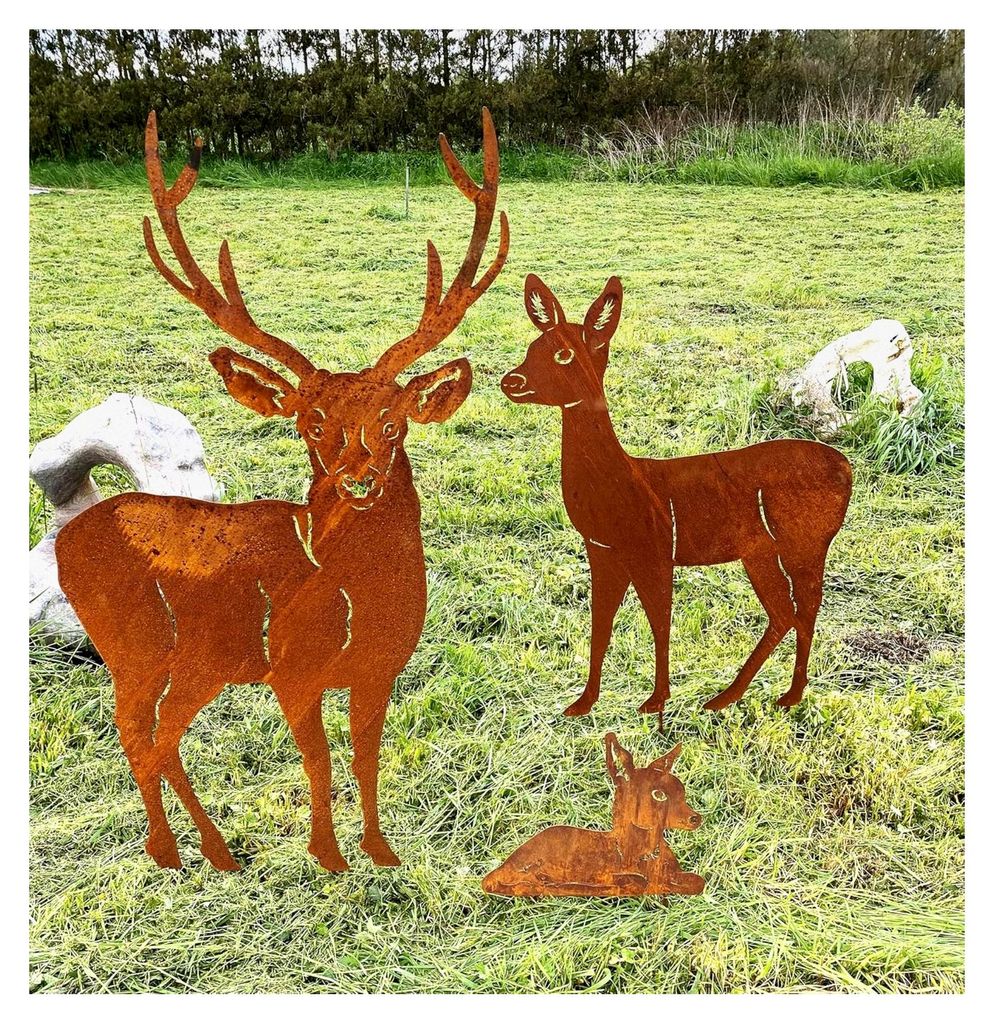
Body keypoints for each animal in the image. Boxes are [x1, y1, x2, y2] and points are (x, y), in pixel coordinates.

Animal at [55, 109, 508, 872]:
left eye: (392, 421)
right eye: (311, 420)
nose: (358, 479)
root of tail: (65, 537)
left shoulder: (379, 672)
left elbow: (365, 760)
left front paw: (380, 852)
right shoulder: (294, 673)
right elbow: (320, 763)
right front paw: (328, 856)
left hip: (196, 662)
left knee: (162, 735)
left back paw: (214, 850)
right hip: (134, 645)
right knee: (136, 733)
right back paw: (172, 851)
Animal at [501, 275, 852, 720]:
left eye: (564, 354)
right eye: (532, 347)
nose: (511, 381)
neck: (621, 480)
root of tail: (848, 469)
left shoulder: (653, 550)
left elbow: (659, 621)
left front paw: (655, 701)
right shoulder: (602, 550)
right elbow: (601, 623)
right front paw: (583, 702)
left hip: (805, 541)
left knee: (805, 609)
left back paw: (786, 696)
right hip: (759, 551)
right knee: (784, 613)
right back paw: (727, 697)